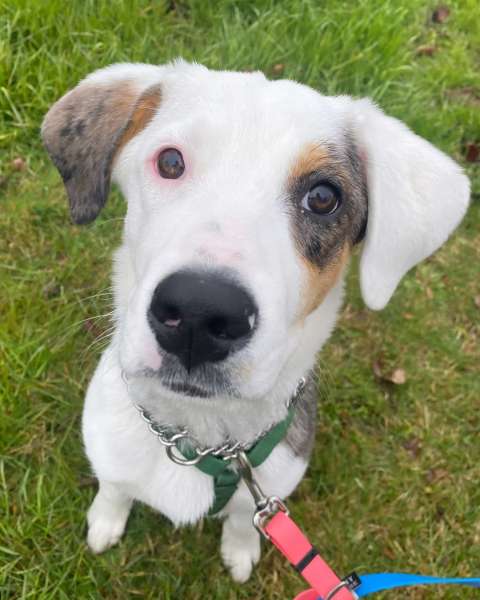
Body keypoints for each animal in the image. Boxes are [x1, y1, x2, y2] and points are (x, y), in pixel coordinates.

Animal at [41, 59, 468, 580]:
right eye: (170, 162)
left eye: (323, 197)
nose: (199, 312)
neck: (202, 438)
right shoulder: (111, 450)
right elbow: (115, 488)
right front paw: (105, 521)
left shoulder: (271, 483)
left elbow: (245, 518)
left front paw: (240, 550)